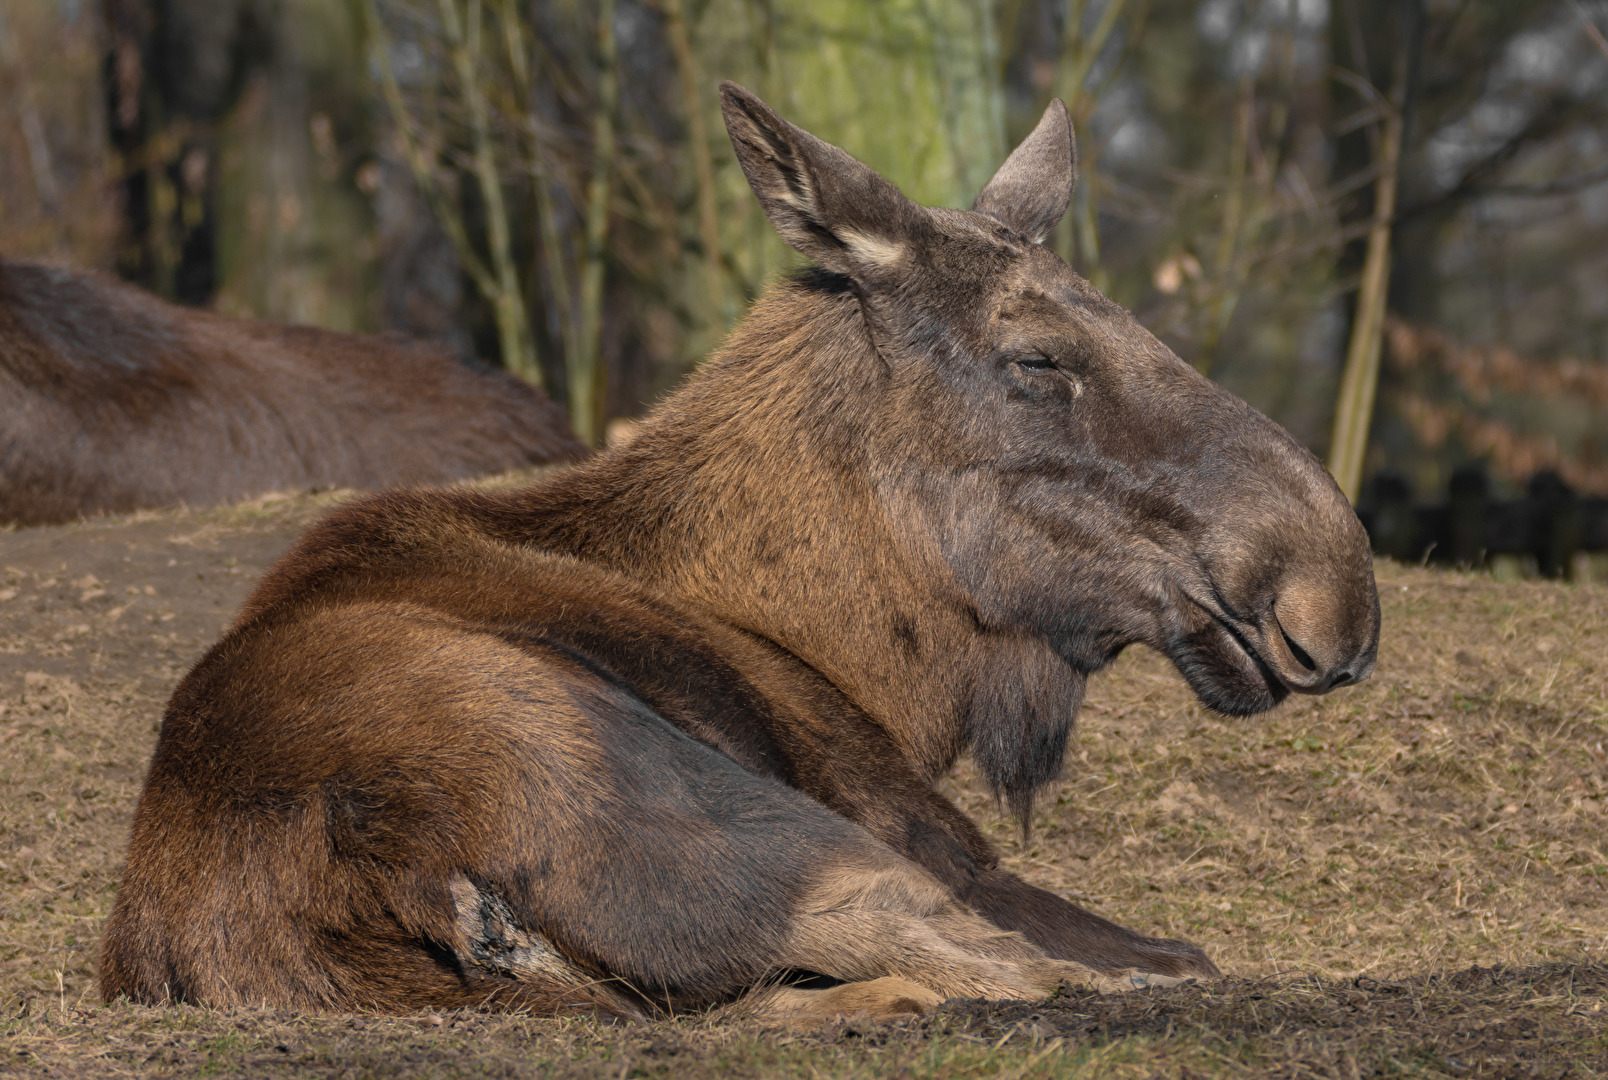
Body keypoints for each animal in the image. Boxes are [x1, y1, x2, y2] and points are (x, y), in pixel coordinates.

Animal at [103, 82, 1382, 1022]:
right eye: (1037, 358)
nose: (1333, 589)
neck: (880, 665)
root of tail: (384, 849)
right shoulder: (936, 837)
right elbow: (1174, 951)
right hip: (767, 829)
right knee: (988, 962)